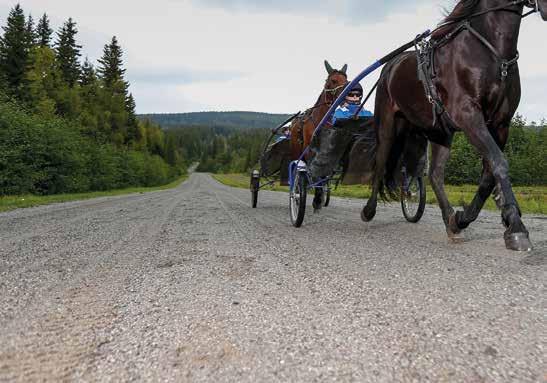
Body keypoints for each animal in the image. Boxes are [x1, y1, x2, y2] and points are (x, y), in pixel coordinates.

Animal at [288, 60, 348, 210]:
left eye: (347, 79)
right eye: (333, 80)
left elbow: (323, 175)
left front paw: (319, 198)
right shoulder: (311, 151)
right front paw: (315, 197)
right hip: (296, 150)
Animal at [362, 0, 544, 252]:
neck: (493, 54)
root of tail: (392, 65)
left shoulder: (500, 124)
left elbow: (489, 174)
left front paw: (466, 217)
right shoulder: (468, 115)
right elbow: (499, 162)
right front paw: (516, 228)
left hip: (439, 132)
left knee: (435, 174)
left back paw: (451, 220)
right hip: (388, 124)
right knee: (381, 163)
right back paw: (368, 210)